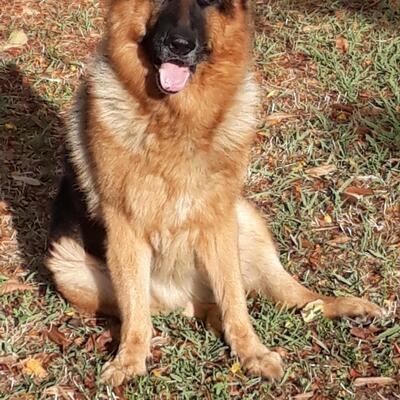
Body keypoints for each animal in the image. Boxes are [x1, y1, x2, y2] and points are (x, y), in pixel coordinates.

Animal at [46, 0, 381, 386]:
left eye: (206, 3)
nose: (179, 46)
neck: (176, 118)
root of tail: (181, 288)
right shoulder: (125, 228)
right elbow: (135, 309)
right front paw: (129, 360)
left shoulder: (219, 220)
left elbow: (234, 298)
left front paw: (251, 352)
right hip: (70, 267)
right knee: (162, 308)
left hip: (246, 222)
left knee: (289, 295)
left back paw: (346, 307)